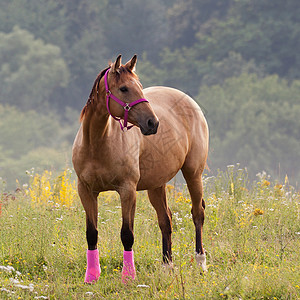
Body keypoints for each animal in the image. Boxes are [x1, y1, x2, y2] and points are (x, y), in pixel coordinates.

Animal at [72, 54, 209, 284]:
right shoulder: (86, 191)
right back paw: (167, 266)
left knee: (197, 213)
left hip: (193, 173)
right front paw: (91, 276)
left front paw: (128, 276)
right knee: (165, 220)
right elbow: (92, 233)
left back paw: (201, 263)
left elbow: (127, 234)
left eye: (140, 87)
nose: (153, 123)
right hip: (156, 185)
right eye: (124, 89)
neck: (98, 143)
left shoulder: (127, 190)